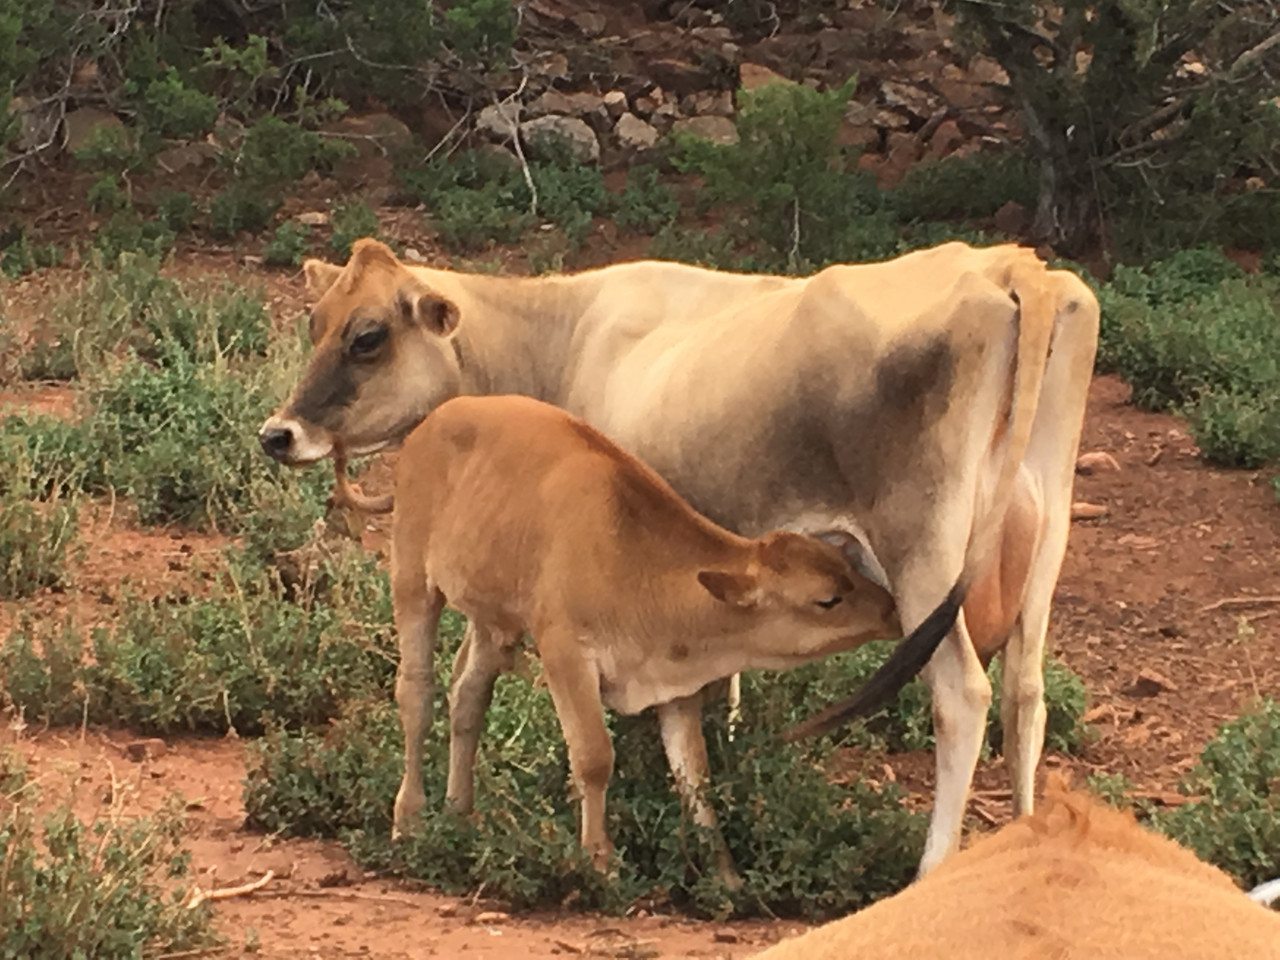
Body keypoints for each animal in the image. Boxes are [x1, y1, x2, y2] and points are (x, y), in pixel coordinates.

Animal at [384, 394, 906, 885]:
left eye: (849, 566)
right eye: (828, 599)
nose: (891, 609)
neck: (633, 561)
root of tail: (439, 417)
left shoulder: (674, 687)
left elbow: (694, 775)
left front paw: (727, 876)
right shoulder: (566, 654)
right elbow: (595, 756)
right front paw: (600, 862)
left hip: (493, 619)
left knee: (467, 696)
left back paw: (459, 813)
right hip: (413, 581)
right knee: (416, 694)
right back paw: (408, 819)